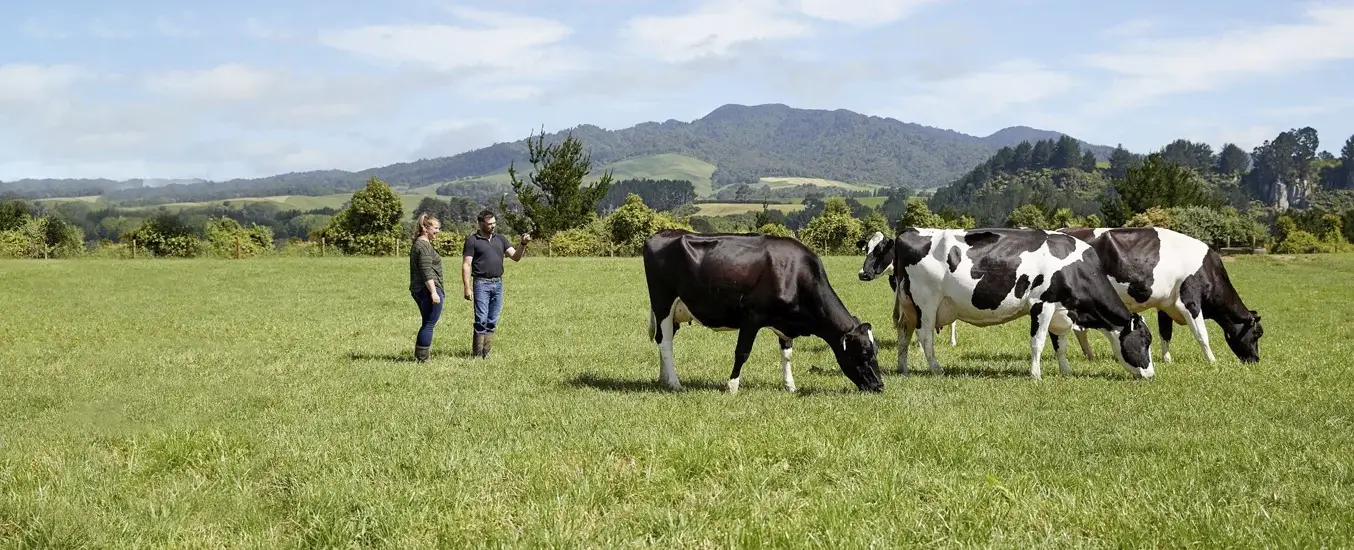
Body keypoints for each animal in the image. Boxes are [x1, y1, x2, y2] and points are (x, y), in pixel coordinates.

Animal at [643, 229, 885, 394]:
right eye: (864, 353)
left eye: (876, 350)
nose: (880, 385)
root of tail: (660, 234)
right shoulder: (752, 316)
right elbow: (742, 352)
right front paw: (732, 386)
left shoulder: (786, 323)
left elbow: (787, 355)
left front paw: (790, 386)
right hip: (663, 303)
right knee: (665, 343)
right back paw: (675, 383)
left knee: (663, 340)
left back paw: (664, 379)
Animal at [890, 227, 1155, 380]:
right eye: (1144, 341)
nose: (1151, 374)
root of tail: (908, 232)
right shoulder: (1042, 303)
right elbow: (1038, 342)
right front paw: (1036, 375)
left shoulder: (1060, 309)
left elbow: (1060, 344)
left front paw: (1066, 371)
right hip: (926, 301)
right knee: (924, 336)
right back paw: (936, 368)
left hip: (909, 305)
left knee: (904, 332)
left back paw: (903, 368)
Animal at [1057, 227, 1263, 364]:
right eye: (1257, 334)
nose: (1255, 359)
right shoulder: (1189, 302)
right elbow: (1202, 334)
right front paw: (1212, 361)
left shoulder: (1166, 305)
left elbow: (1165, 333)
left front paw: (1167, 359)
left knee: (1078, 328)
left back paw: (1089, 355)